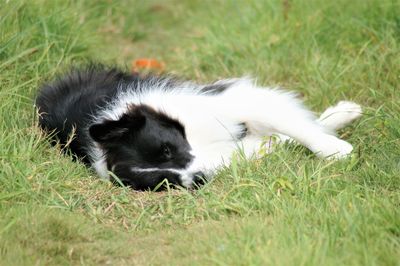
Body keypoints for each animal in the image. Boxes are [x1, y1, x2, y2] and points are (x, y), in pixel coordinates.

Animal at [36, 65, 362, 190]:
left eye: (166, 150)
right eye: (164, 182)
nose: (199, 179)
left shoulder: (228, 101)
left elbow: (292, 124)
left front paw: (335, 148)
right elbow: (272, 138)